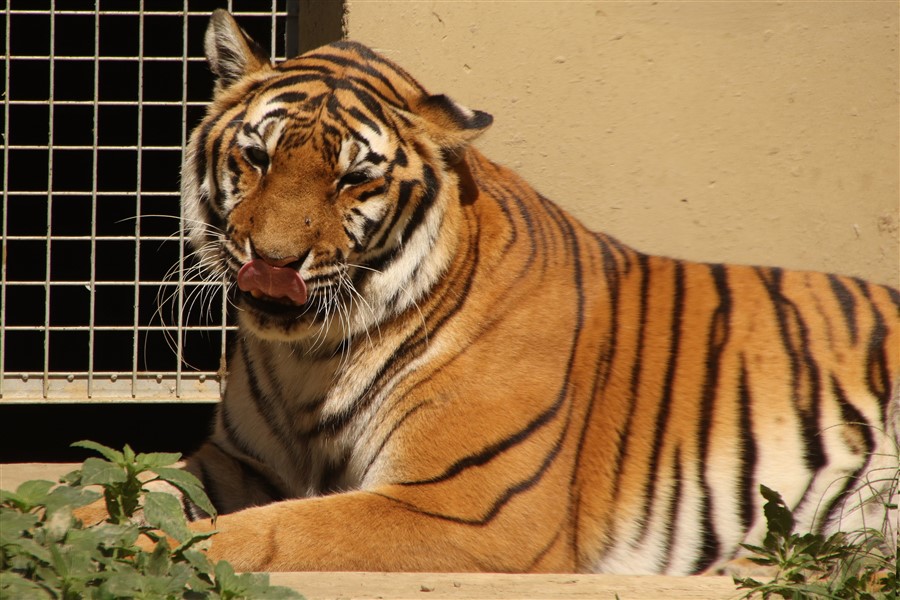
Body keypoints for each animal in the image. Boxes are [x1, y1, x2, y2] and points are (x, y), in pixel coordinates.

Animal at [177, 9, 900, 574]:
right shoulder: (238, 460)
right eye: (258, 158)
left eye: (353, 179)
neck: (309, 358)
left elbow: (263, 531)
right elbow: (159, 484)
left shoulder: (464, 507)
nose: (273, 261)